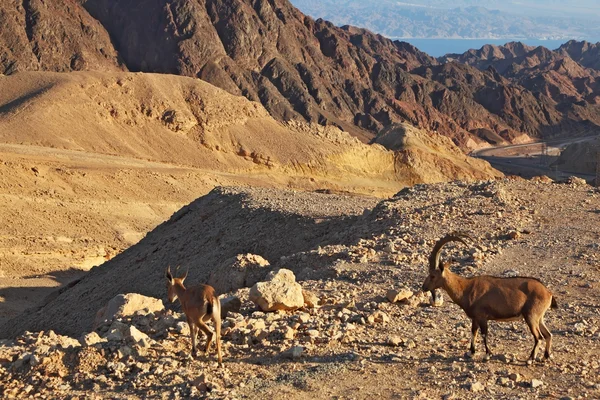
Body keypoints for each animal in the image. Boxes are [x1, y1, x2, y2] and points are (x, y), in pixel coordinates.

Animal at [422, 233, 556, 364]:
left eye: (433, 276)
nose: (424, 287)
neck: (466, 288)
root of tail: (548, 292)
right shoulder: (475, 318)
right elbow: (473, 332)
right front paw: (471, 353)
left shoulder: (482, 317)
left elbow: (484, 334)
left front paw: (487, 355)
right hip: (539, 317)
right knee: (548, 334)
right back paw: (545, 357)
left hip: (531, 316)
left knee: (539, 337)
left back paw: (530, 359)